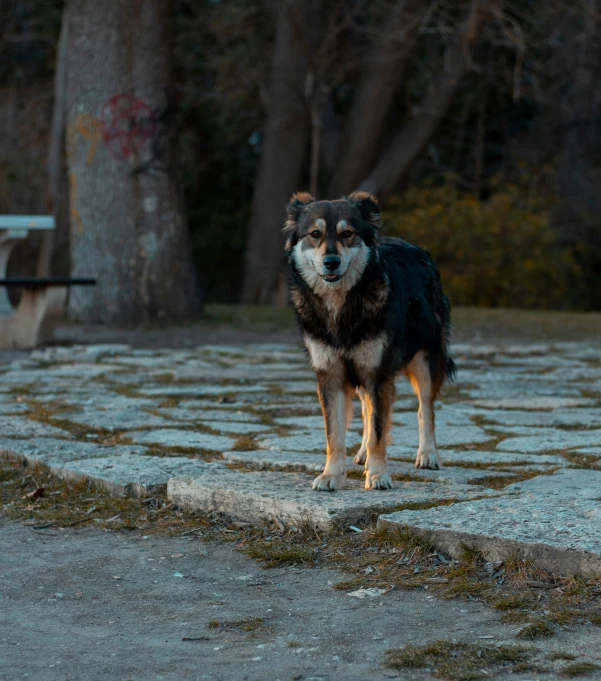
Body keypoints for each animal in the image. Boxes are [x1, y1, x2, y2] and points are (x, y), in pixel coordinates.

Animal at [282, 190, 454, 488]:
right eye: (315, 234)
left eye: (347, 233)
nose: (331, 262)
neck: (341, 307)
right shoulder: (331, 375)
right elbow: (335, 433)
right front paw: (331, 475)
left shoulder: (378, 373)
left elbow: (379, 429)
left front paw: (377, 474)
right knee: (367, 409)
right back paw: (362, 453)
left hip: (425, 362)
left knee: (425, 410)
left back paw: (428, 454)